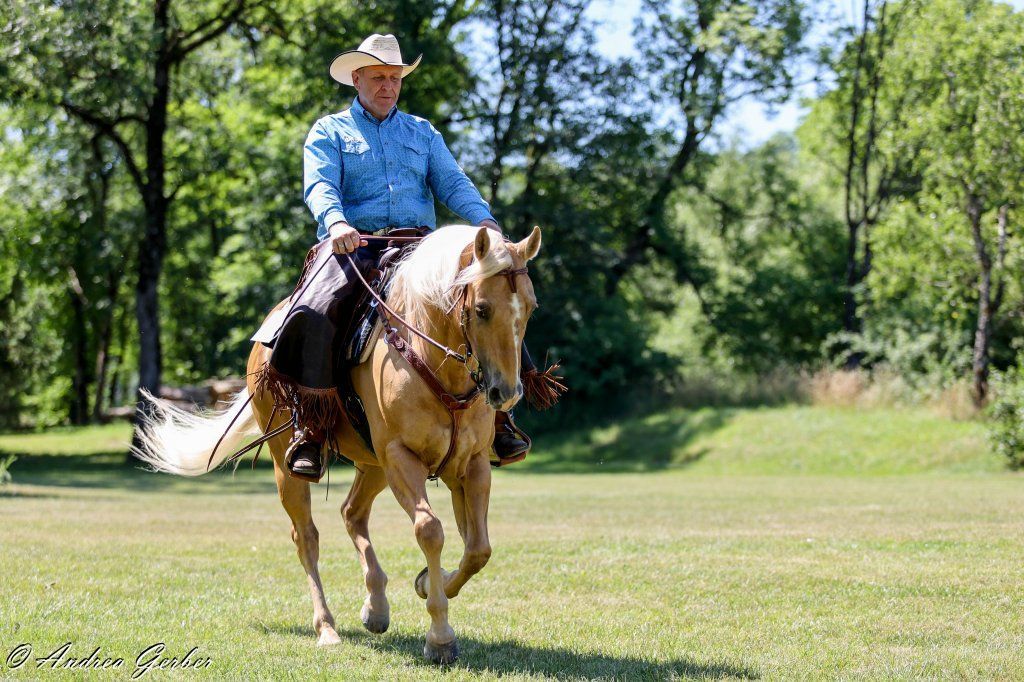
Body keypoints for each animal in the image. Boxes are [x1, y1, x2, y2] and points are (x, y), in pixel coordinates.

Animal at [133, 224, 542, 664]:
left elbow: (477, 547)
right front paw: (440, 636)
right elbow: (431, 530)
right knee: (307, 538)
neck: (428, 357)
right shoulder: (401, 458)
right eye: (481, 308)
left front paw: (427, 585)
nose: (506, 393)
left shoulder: (471, 464)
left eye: (530, 308)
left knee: (352, 512)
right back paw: (327, 628)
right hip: (291, 466)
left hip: (373, 465)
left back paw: (376, 607)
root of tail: (266, 338)